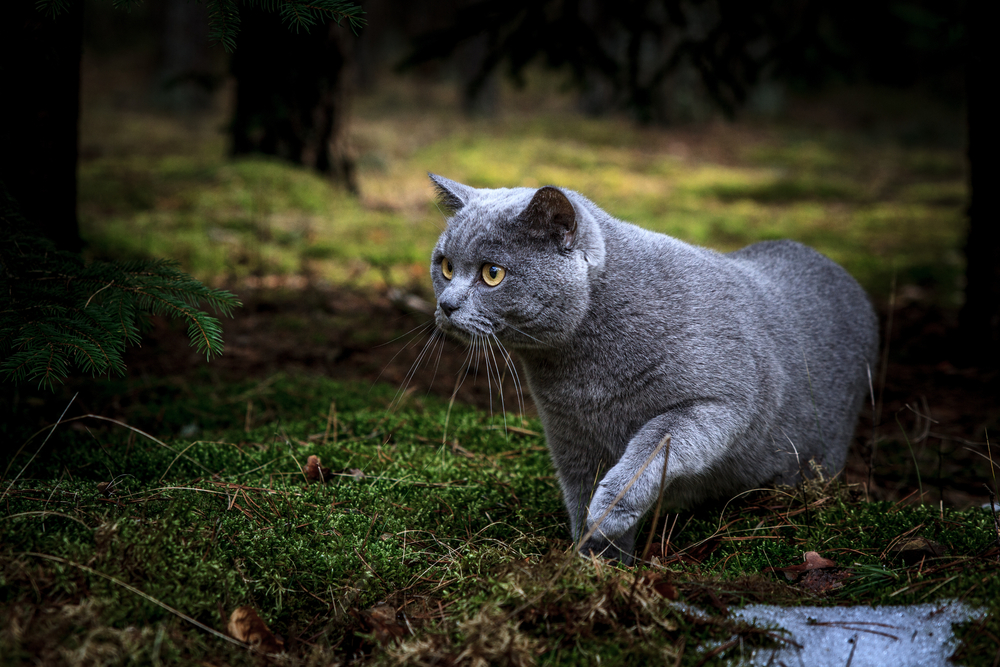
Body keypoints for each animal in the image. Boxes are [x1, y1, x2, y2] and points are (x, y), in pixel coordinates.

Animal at [428, 174, 876, 564]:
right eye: (445, 267)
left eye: (493, 274)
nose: (446, 305)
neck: (581, 375)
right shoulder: (570, 437)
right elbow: (579, 494)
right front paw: (596, 562)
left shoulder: (723, 402)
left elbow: (655, 443)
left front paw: (609, 512)